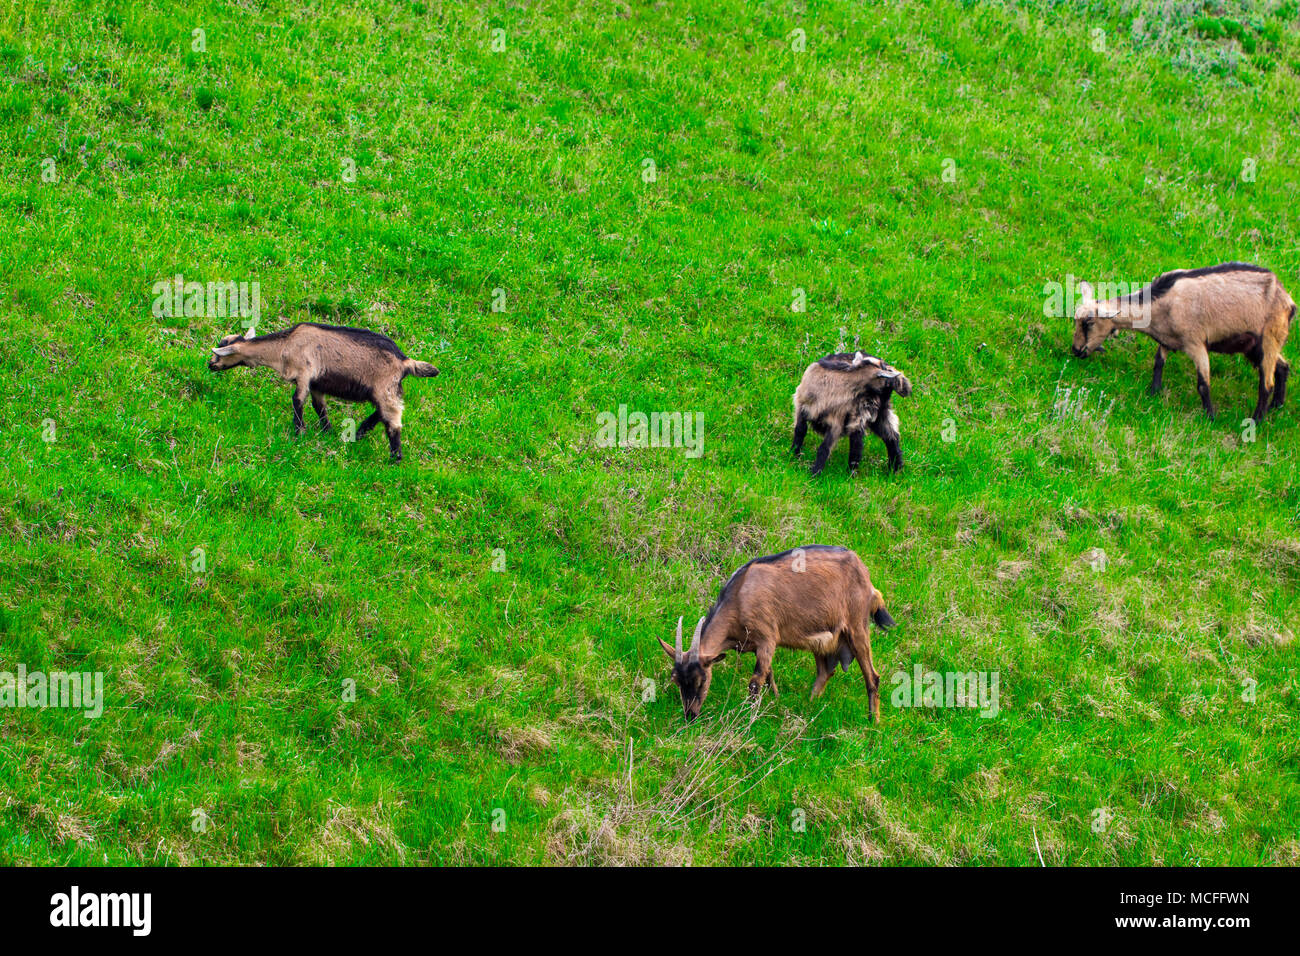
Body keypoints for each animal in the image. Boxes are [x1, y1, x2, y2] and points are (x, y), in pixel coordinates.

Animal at [208, 322, 439, 460]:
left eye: (219, 353)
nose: (209, 365)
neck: (284, 346)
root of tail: (405, 361)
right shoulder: (317, 383)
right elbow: (319, 406)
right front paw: (327, 431)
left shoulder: (304, 371)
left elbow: (297, 400)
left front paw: (298, 433)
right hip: (384, 390)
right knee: (382, 413)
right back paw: (360, 432)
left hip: (386, 388)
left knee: (393, 421)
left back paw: (394, 459)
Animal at [656, 545, 895, 721]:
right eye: (677, 681)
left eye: (701, 680)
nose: (690, 715)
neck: (740, 596)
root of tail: (869, 582)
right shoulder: (755, 646)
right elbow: (769, 675)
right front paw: (777, 701)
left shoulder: (767, 638)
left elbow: (756, 680)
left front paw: (748, 716)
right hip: (822, 639)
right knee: (825, 672)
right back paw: (808, 706)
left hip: (857, 627)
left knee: (872, 676)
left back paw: (873, 723)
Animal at [1071, 262, 1296, 423]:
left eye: (1089, 323)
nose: (1075, 351)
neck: (1161, 303)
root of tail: (1289, 303)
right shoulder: (1167, 339)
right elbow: (1158, 364)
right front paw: (1153, 393)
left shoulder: (1195, 343)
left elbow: (1203, 384)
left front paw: (1210, 418)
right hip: (1254, 346)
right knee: (1283, 367)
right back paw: (1277, 405)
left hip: (1269, 338)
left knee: (1266, 384)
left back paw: (1256, 421)